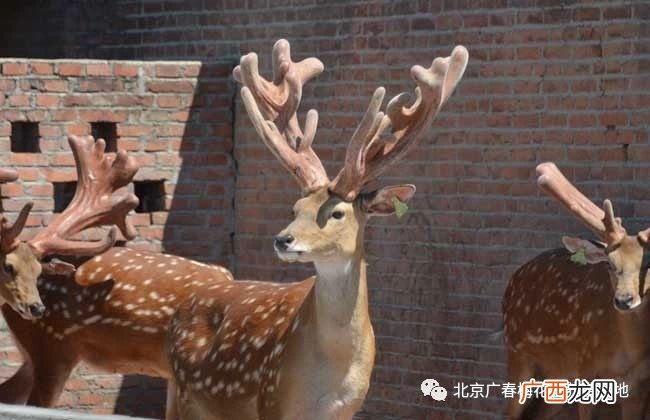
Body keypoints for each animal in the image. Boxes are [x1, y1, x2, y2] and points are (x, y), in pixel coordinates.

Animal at [166, 39, 468, 420]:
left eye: (337, 212)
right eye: (295, 209)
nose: (283, 239)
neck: (331, 373)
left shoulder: (349, 406)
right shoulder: (272, 398)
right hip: (183, 395)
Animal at [503, 162, 650, 419]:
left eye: (647, 264)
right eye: (610, 264)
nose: (624, 300)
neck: (625, 355)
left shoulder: (638, 386)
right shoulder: (586, 366)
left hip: (558, 372)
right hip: (517, 351)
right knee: (509, 412)